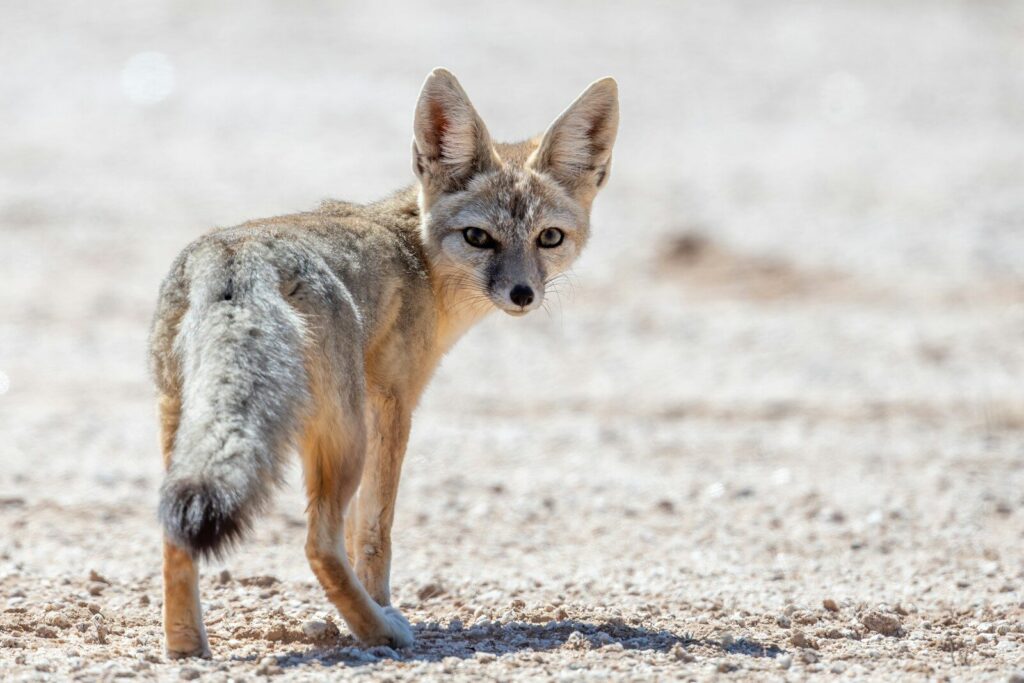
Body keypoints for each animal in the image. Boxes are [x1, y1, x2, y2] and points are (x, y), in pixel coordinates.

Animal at [149, 68, 619, 657]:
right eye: (479, 238)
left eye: (549, 238)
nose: (522, 294)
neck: (417, 253)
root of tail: (236, 259)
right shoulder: (394, 404)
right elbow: (374, 533)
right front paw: (379, 607)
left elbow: (361, 532)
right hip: (345, 436)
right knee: (319, 544)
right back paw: (378, 631)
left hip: (189, 429)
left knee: (174, 536)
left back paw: (187, 648)